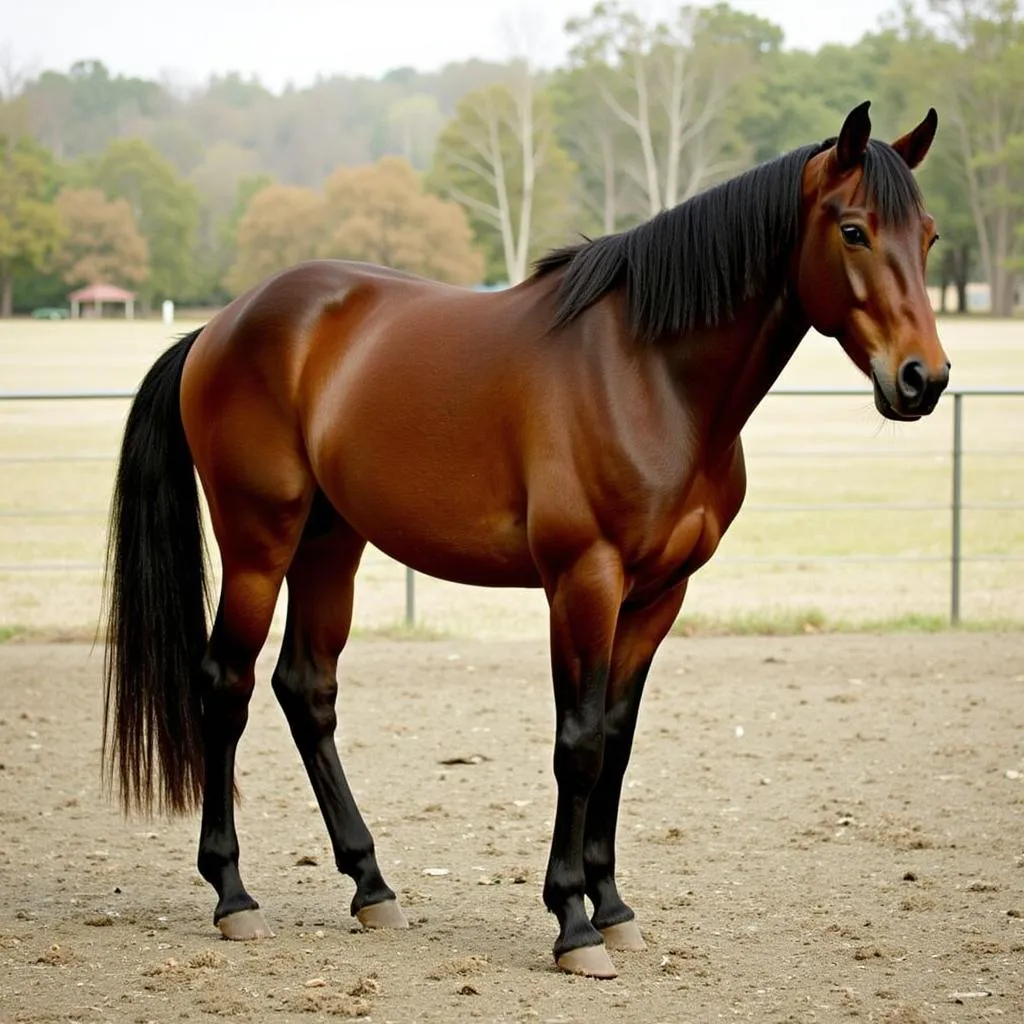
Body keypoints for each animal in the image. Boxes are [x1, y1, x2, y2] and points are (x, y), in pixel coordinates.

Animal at [105, 101, 950, 974]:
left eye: (927, 237)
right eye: (853, 231)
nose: (923, 379)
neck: (650, 375)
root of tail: (218, 327)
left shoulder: (658, 595)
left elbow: (616, 740)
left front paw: (613, 906)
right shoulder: (584, 582)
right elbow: (576, 744)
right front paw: (572, 921)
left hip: (330, 545)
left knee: (306, 690)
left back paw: (372, 887)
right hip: (258, 544)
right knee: (226, 687)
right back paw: (233, 894)